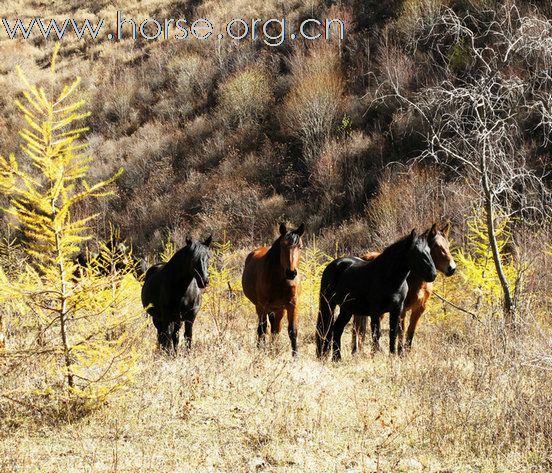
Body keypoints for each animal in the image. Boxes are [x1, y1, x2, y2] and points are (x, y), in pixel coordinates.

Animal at [243, 223, 306, 356]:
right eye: (283, 245)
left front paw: (295, 356)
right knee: (263, 328)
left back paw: (275, 350)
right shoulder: (263, 305)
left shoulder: (292, 305)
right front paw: (261, 352)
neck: (281, 280)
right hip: (261, 307)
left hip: (278, 309)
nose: (291, 273)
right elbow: (263, 329)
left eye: (300, 246)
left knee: (276, 328)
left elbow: (292, 331)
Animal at [316, 230, 438, 360]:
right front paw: (376, 355)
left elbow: (393, 333)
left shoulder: (397, 310)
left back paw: (337, 358)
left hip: (347, 309)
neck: (389, 278)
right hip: (328, 304)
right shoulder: (376, 311)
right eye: (417, 252)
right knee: (325, 328)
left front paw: (392, 356)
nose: (433, 274)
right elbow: (376, 333)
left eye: (429, 250)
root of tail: (333, 265)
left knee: (337, 329)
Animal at [354, 223, 458, 352]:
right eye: (436, 246)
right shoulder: (402, 309)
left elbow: (410, 332)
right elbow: (401, 332)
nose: (452, 268)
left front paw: (407, 353)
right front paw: (400, 353)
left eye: (448, 245)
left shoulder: (419, 309)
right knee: (357, 329)